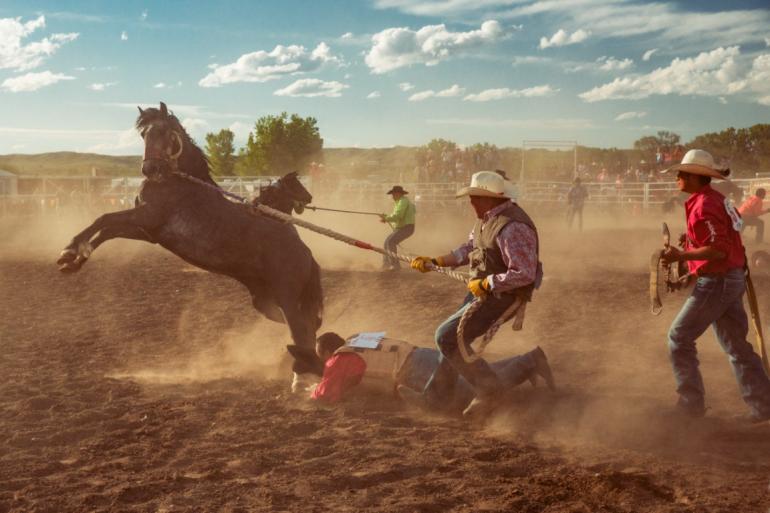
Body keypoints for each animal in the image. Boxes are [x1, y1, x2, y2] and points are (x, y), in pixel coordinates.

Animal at [56, 101, 324, 388]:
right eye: (143, 134)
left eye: (164, 132)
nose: (149, 169)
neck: (176, 181)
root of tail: (306, 251)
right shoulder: (147, 231)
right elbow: (106, 230)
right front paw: (72, 260)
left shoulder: (146, 217)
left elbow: (104, 219)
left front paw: (69, 249)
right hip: (266, 302)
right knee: (305, 327)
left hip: (287, 297)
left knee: (301, 328)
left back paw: (302, 376)